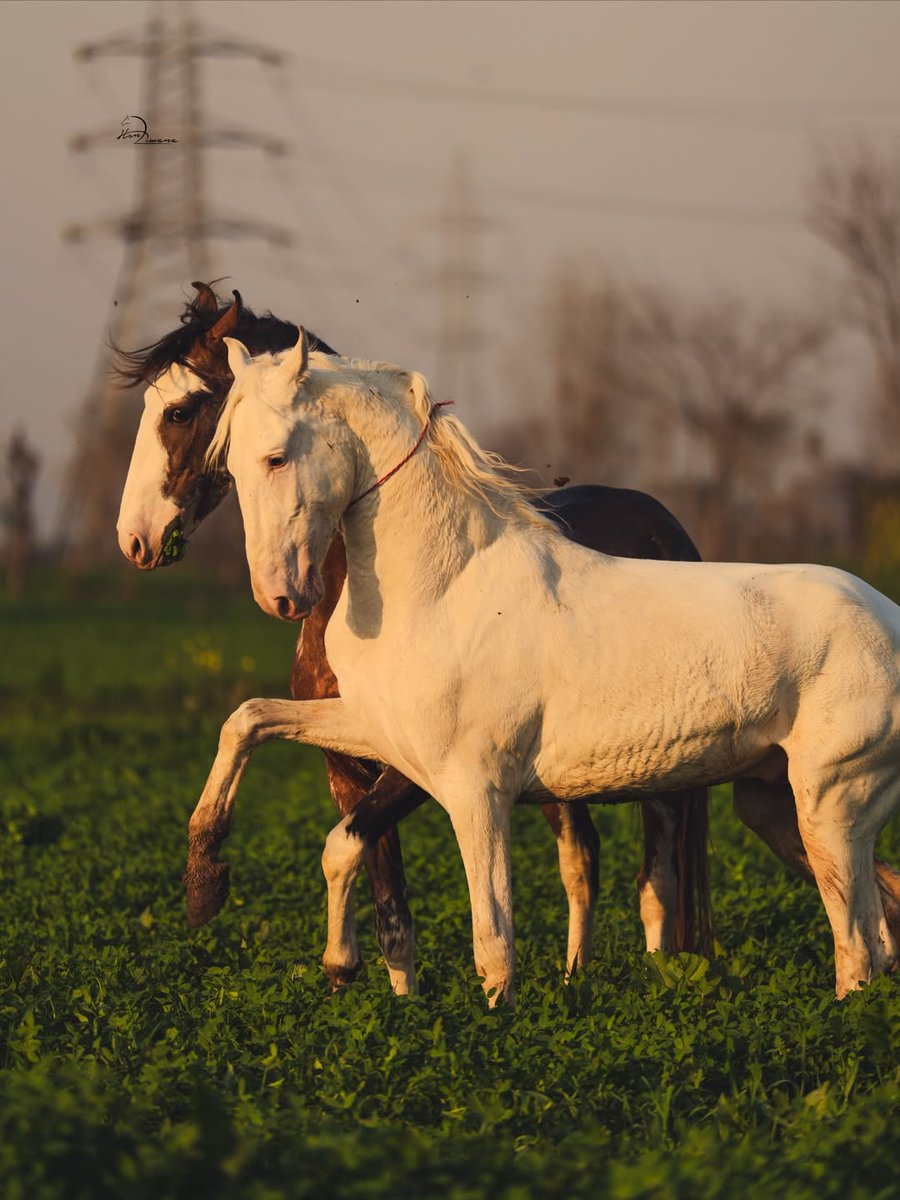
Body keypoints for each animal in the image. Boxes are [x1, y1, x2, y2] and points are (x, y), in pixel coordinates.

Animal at [116, 284, 712, 990]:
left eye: (180, 411)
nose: (134, 539)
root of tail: (665, 524)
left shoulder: (422, 766)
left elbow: (360, 858)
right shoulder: (348, 763)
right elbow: (386, 904)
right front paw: (208, 884)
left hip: (660, 776)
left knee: (658, 880)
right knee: (581, 857)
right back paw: (573, 980)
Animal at [193, 328, 900, 1004]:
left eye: (276, 456)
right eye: (228, 464)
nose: (281, 596)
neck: (441, 589)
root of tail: (888, 619)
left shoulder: (475, 791)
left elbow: (493, 939)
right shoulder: (379, 734)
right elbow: (257, 732)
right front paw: (211, 884)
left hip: (830, 811)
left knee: (856, 950)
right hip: (776, 809)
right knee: (881, 917)